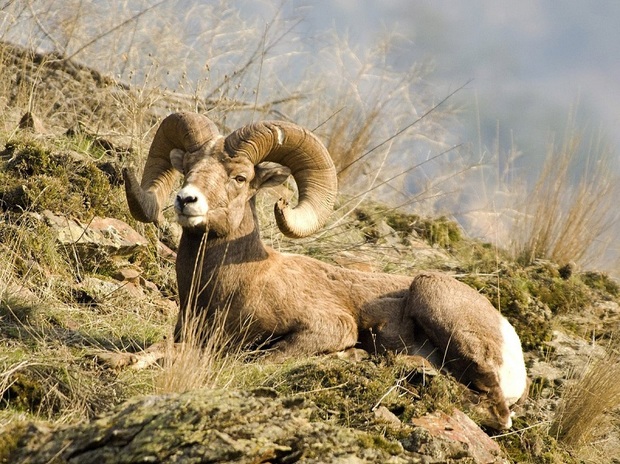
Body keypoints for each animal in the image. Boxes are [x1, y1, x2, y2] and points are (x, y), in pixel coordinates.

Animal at [122, 111, 528, 428]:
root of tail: (509, 339)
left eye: (239, 178)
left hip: (432, 296)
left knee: (496, 410)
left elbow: (258, 357)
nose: (186, 200)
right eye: (187, 170)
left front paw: (347, 355)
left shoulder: (327, 327)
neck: (234, 285)